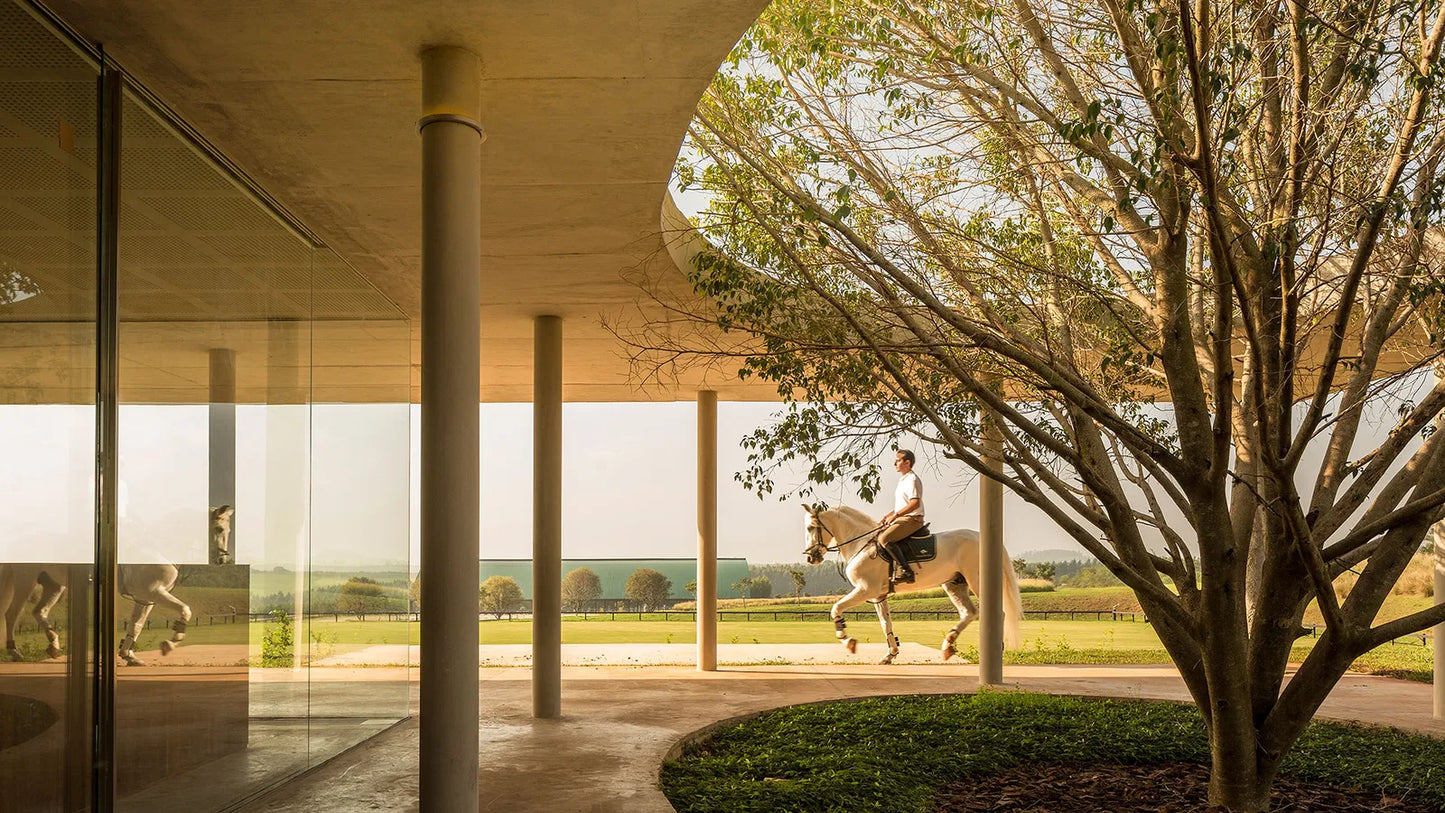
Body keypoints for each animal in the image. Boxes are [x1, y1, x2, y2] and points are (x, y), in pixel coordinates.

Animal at [803, 505, 1028, 664]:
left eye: (811, 528)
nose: (810, 558)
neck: (863, 545)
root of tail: (980, 537)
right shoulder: (878, 595)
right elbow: (886, 624)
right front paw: (890, 655)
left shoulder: (865, 590)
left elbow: (836, 608)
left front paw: (847, 640)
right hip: (954, 584)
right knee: (969, 613)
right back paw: (948, 646)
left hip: (977, 580)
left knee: (997, 614)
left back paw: (995, 650)